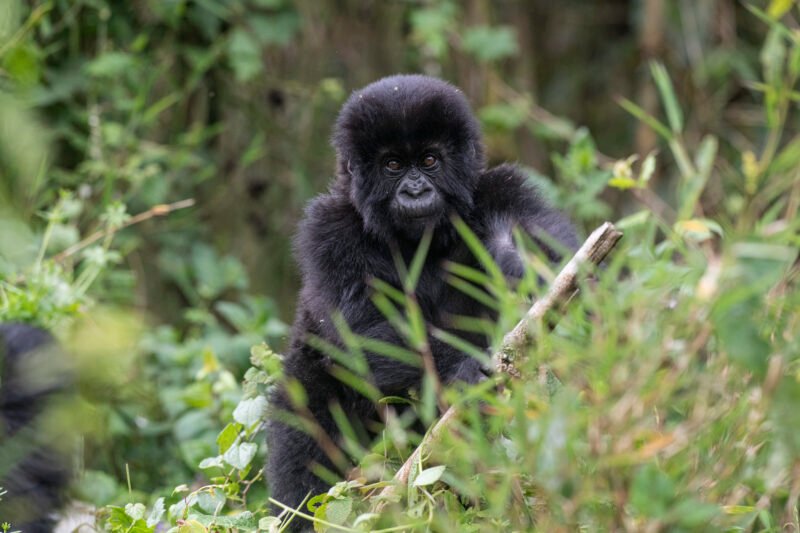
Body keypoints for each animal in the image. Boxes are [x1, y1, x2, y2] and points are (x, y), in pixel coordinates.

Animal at [268, 75, 576, 516]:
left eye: (429, 160)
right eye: (393, 165)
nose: (415, 191)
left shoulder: (503, 189)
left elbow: (553, 258)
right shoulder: (328, 229)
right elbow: (359, 333)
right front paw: (462, 368)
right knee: (305, 427)